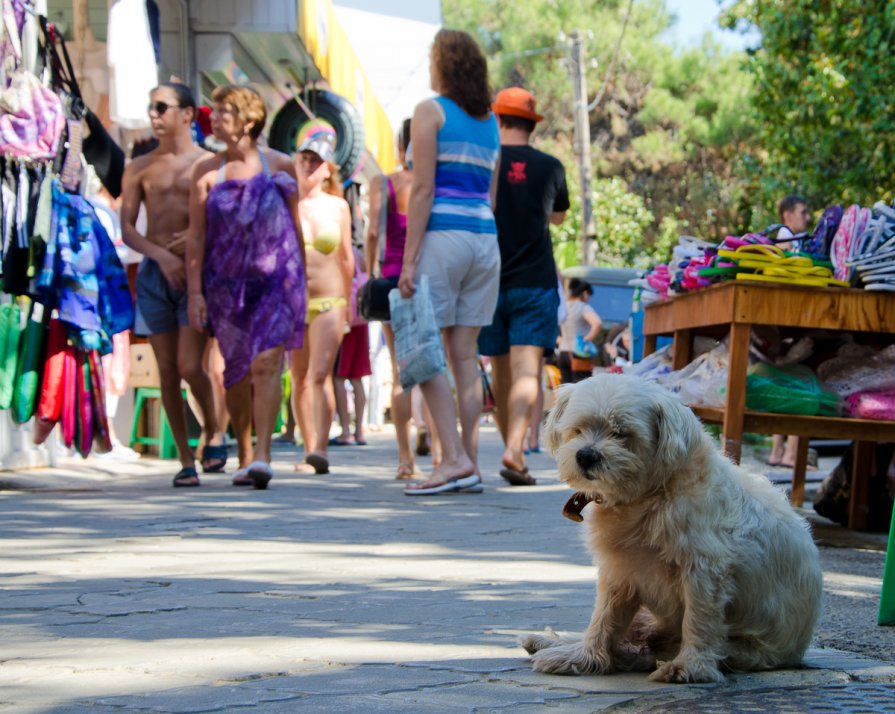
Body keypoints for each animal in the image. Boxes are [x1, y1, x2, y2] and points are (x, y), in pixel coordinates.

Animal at [520, 372, 824, 680]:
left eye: (621, 433)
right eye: (578, 429)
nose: (586, 455)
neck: (649, 496)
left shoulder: (704, 571)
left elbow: (699, 620)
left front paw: (690, 666)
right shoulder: (621, 572)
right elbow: (603, 619)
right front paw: (583, 656)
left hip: (738, 648)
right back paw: (551, 642)